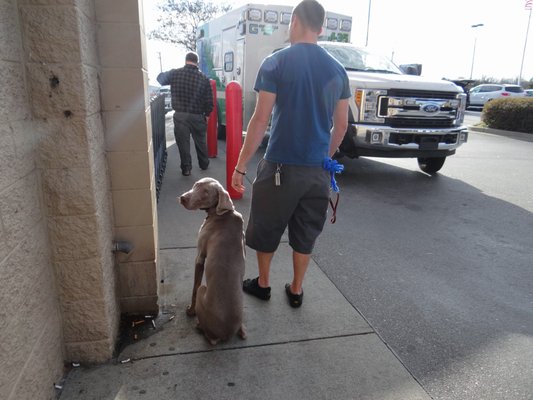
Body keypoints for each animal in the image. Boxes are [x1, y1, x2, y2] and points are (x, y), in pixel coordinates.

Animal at [178, 177, 246, 344]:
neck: (221, 214)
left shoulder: (199, 257)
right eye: (196, 185)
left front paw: (190, 311)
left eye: (206, 193)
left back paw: (198, 325)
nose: (183, 198)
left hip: (204, 289)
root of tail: (224, 335)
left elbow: (194, 287)